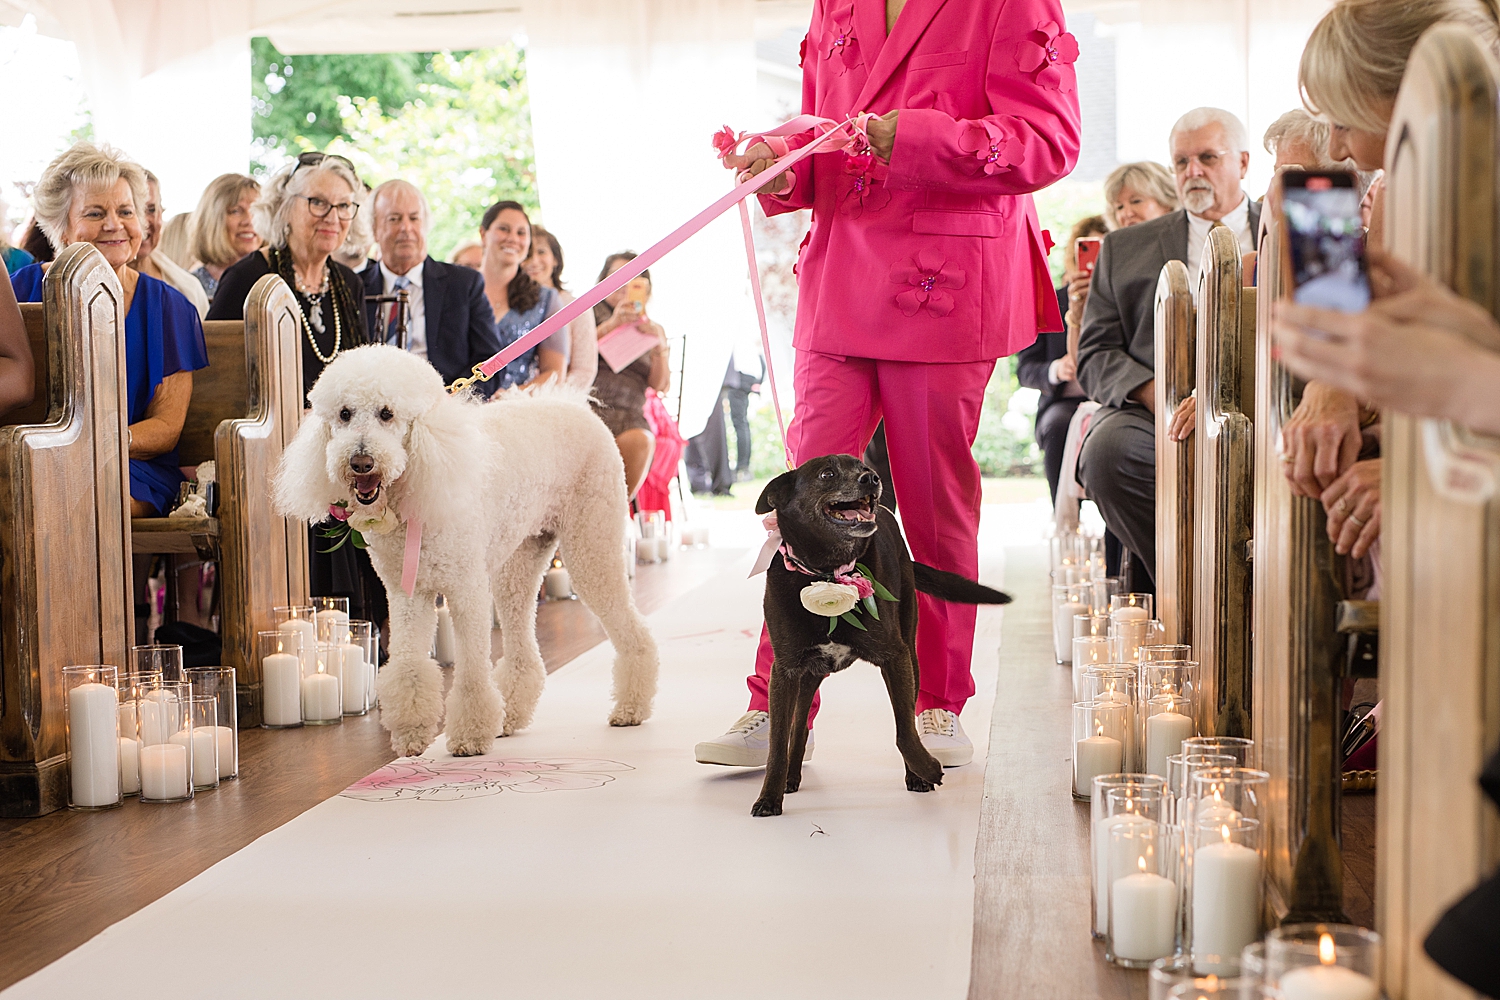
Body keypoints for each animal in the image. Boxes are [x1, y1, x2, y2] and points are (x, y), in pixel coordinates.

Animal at [756, 458, 1014, 815]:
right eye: (827, 474)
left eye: (859, 466)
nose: (872, 478)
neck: (828, 572)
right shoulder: (785, 671)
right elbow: (778, 741)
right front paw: (769, 797)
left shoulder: (895, 656)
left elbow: (904, 729)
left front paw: (926, 769)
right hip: (809, 676)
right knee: (799, 726)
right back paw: (792, 777)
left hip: (910, 652)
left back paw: (916, 773)